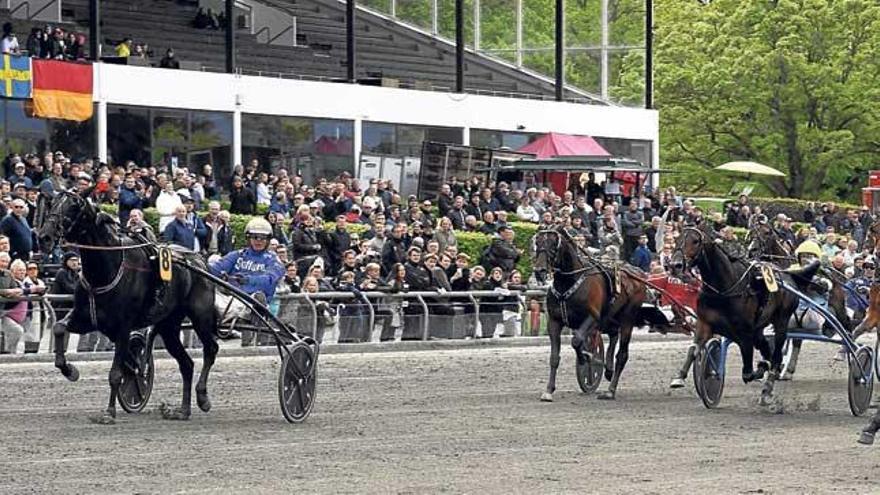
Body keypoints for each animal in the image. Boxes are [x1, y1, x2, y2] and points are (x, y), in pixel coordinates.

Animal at [39, 192, 220, 424]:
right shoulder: (85, 318)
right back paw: (183, 411)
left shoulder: (123, 327)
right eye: (52, 203)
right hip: (169, 324)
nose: (44, 237)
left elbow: (116, 373)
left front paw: (109, 412)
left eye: (73, 207)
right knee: (186, 364)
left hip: (200, 316)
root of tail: (198, 259)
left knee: (210, 349)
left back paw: (202, 397)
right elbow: (59, 328)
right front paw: (70, 370)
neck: (106, 268)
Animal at [528, 227, 652, 402]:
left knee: (622, 354)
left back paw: (610, 390)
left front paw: (585, 358)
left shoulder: (592, 318)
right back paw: (608, 370)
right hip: (609, 318)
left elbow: (577, 341)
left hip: (627, 318)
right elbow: (554, 357)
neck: (570, 282)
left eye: (553, 244)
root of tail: (638, 274)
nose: (539, 271)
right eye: (537, 243)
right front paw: (549, 390)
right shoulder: (554, 321)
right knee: (614, 335)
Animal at [672, 225, 820, 404]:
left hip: (781, 321)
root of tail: (787, 275)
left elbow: (748, 373)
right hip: (759, 328)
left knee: (776, 355)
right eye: (677, 238)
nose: (675, 265)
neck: (724, 289)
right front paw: (679, 377)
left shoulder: (745, 332)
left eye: (695, 241)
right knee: (767, 349)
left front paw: (760, 372)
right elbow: (693, 350)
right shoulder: (704, 324)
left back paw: (767, 388)